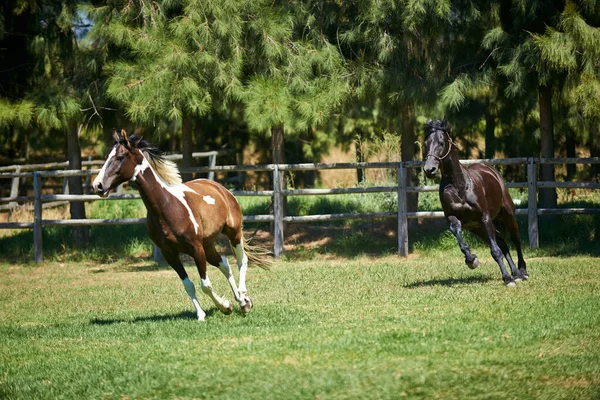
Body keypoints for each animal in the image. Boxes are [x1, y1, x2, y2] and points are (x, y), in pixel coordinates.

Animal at [92, 130, 270, 320]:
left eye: (120, 157)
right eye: (107, 156)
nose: (97, 185)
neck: (167, 207)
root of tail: (220, 188)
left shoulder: (196, 249)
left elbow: (205, 285)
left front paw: (224, 306)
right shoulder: (170, 254)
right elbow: (188, 285)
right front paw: (202, 314)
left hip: (233, 233)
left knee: (241, 261)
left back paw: (244, 301)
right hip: (208, 245)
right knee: (224, 264)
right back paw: (241, 300)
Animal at [424, 117, 528, 286]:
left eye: (441, 143)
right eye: (426, 143)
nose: (429, 170)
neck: (460, 186)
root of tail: (490, 169)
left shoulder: (484, 218)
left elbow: (495, 251)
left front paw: (507, 279)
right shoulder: (454, 219)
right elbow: (460, 237)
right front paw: (471, 260)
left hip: (507, 215)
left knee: (514, 239)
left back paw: (522, 272)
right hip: (478, 228)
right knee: (502, 243)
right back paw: (516, 274)